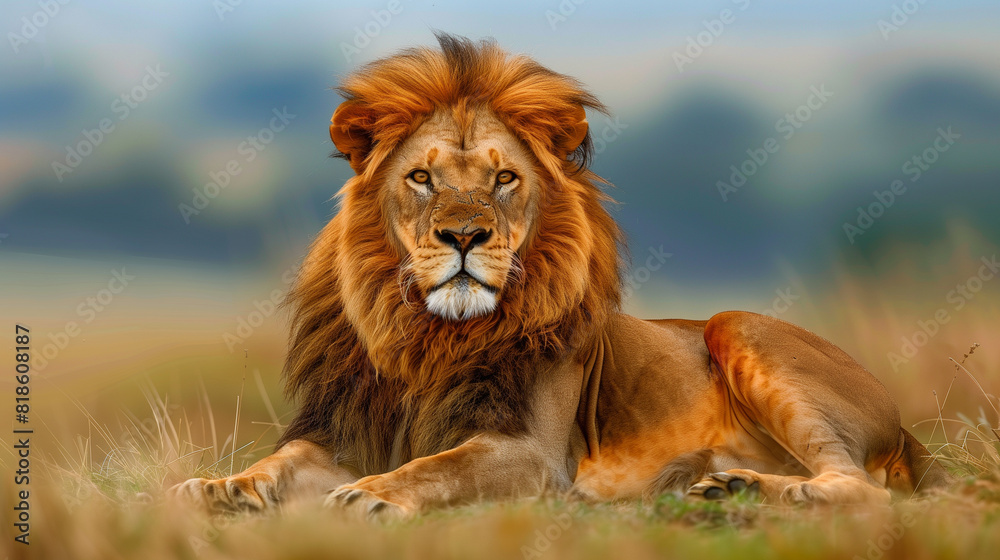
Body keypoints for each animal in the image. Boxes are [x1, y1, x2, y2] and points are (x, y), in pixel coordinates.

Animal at [170, 33, 949, 517]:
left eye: (504, 179)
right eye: (421, 178)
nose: (464, 236)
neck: (429, 338)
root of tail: (902, 424)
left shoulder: (532, 453)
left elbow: (437, 467)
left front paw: (377, 495)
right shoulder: (344, 431)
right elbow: (277, 464)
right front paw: (215, 488)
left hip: (741, 326)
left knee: (861, 487)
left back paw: (748, 495)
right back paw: (721, 485)